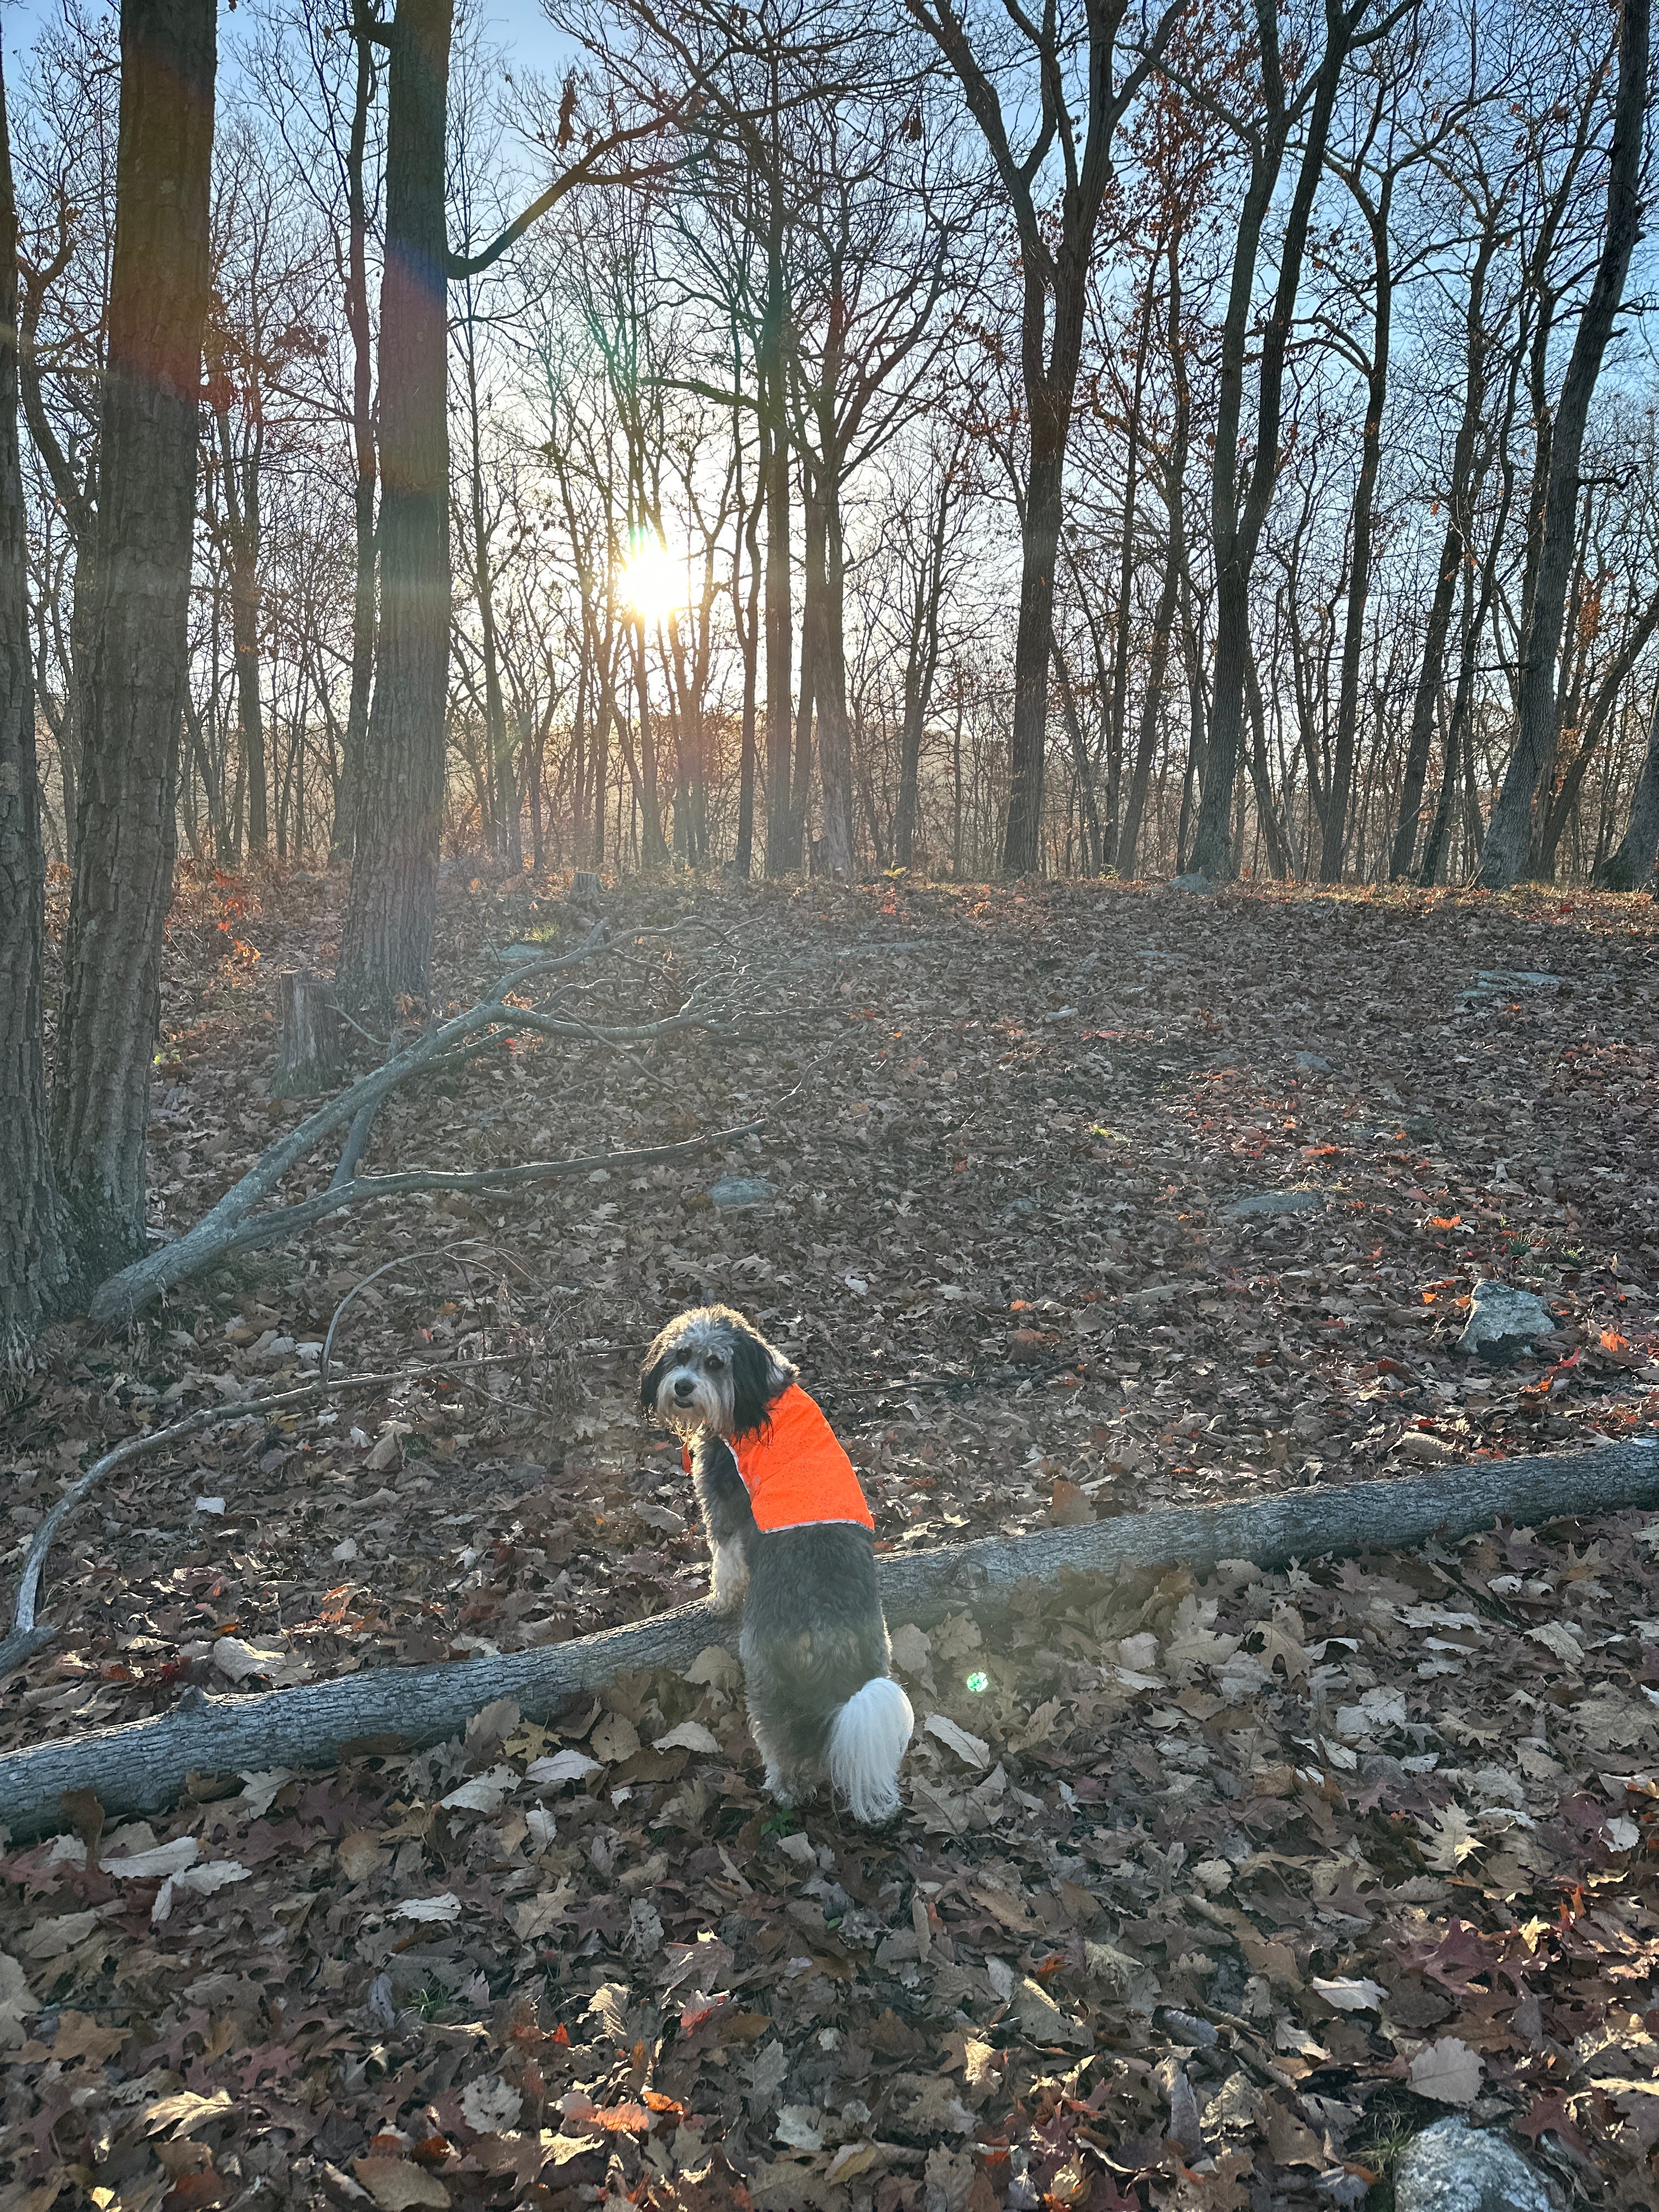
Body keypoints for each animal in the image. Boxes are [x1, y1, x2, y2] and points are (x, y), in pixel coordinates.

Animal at [640, 1303, 913, 1824]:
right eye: (681, 1355)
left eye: (714, 1363)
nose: (682, 1386)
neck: (759, 1394)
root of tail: (832, 1638)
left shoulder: (725, 1504)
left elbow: (726, 1561)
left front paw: (719, 1600)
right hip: (878, 1661)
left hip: (766, 1677)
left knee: (784, 1744)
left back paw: (784, 1787)